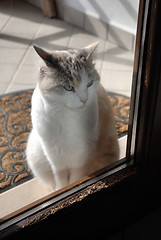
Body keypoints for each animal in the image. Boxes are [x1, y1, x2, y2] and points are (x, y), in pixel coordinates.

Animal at [26, 41, 119, 191]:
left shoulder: (81, 156)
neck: (67, 117)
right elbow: (61, 178)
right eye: (69, 88)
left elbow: (76, 179)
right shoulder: (54, 155)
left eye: (89, 84)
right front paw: (60, 189)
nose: (84, 100)